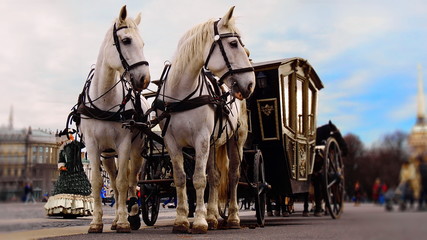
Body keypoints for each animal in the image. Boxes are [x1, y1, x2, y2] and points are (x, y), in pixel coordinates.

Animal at [78, 6, 150, 233]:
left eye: (143, 43)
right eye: (126, 40)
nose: (145, 79)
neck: (105, 102)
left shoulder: (124, 143)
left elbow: (122, 182)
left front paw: (125, 221)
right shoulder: (93, 146)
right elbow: (98, 183)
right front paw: (96, 222)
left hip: (137, 152)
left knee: (131, 180)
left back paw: (131, 213)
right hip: (108, 155)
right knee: (115, 178)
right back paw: (117, 218)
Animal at [159, 6, 256, 233]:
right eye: (233, 43)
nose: (250, 84)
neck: (181, 95)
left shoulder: (201, 139)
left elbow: (198, 179)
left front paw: (199, 221)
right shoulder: (172, 142)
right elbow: (181, 178)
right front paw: (182, 219)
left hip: (235, 140)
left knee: (232, 176)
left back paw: (232, 218)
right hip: (212, 144)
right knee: (215, 176)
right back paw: (213, 216)